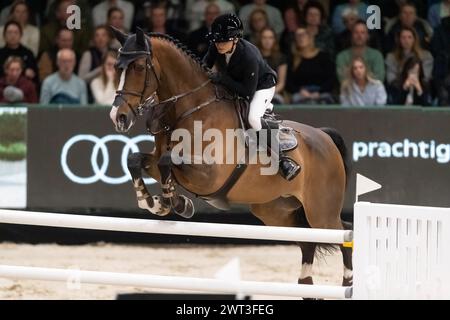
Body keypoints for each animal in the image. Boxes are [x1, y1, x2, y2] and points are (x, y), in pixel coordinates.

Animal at [110, 27, 356, 292]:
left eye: (138, 67)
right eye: (117, 67)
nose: (118, 117)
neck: (191, 109)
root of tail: (325, 137)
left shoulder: (209, 175)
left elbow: (167, 160)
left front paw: (176, 203)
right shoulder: (159, 163)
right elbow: (136, 160)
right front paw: (153, 202)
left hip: (321, 211)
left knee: (344, 232)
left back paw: (348, 282)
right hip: (275, 210)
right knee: (307, 239)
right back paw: (306, 285)